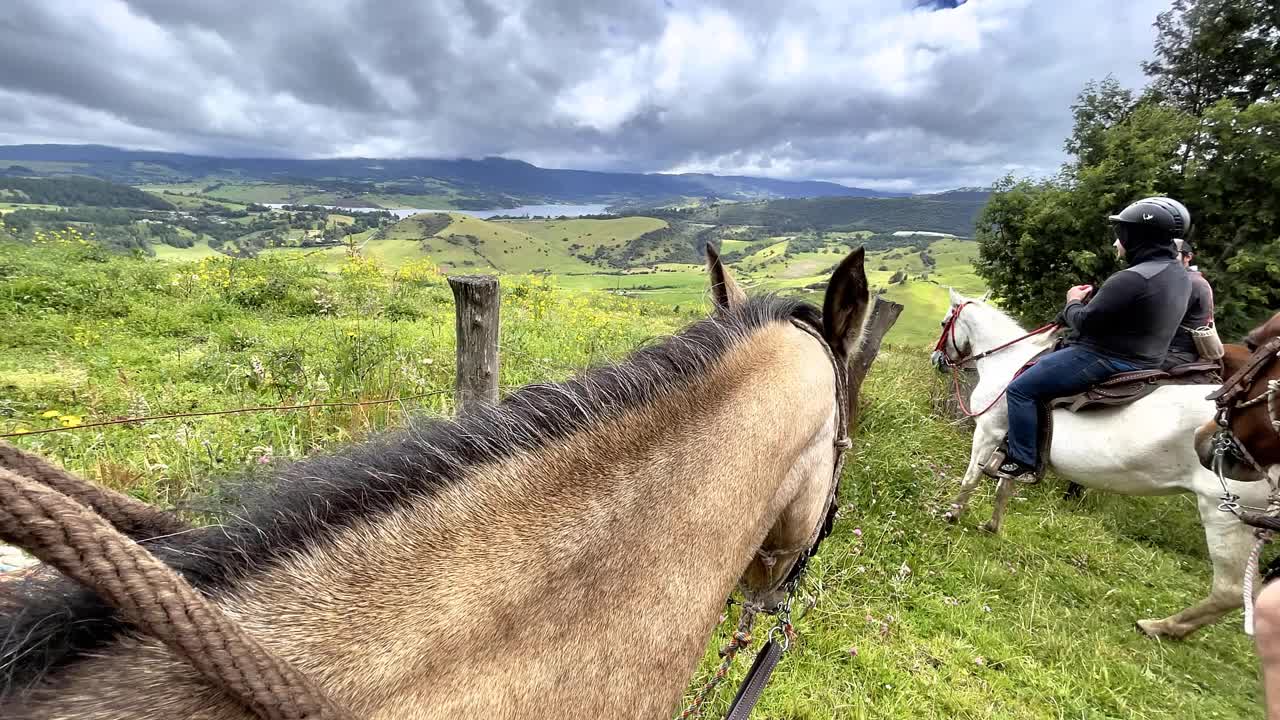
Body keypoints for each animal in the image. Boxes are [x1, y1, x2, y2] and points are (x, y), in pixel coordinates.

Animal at [931, 288, 1269, 635]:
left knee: (1230, 590)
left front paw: (952, 514)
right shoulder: (1015, 447)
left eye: (945, 323)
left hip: (1223, 515)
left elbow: (971, 479)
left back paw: (1163, 627)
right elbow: (1004, 488)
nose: (937, 358)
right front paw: (992, 526)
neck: (1007, 365)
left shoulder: (988, 432)